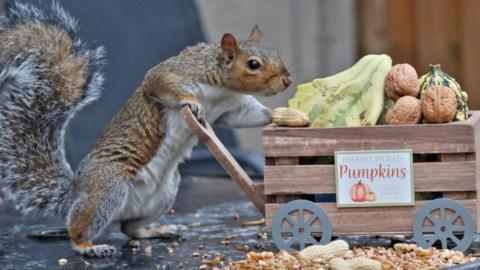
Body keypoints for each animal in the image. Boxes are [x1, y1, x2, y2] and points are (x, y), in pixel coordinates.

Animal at [0, 2, 292, 258]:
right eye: (253, 64)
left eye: (276, 53)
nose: (288, 80)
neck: (222, 85)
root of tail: (74, 192)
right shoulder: (170, 75)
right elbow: (163, 84)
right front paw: (194, 104)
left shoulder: (231, 108)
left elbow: (249, 115)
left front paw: (280, 114)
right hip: (107, 187)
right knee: (79, 228)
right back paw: (89, 246)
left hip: (165, 191)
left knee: (130, 228)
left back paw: (157, 230)